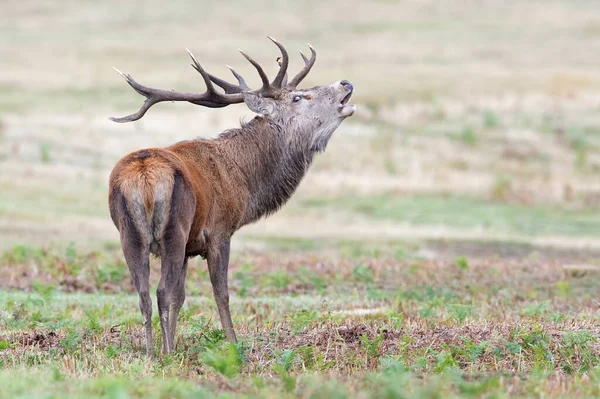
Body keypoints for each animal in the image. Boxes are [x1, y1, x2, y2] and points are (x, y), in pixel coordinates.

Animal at [107, 36, 354, 356]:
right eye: (299, 97)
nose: (345, 83)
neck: (243, 178)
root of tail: (144, 173)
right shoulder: (219, 231)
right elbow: (219, 293)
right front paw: (233, 346)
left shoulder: (190, 246)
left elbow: (180, 296)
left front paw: (173, 342)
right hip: (174, 229)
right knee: (160, 291)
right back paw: (165, 354)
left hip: (129, 234)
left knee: (143, 293)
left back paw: (151, 354)